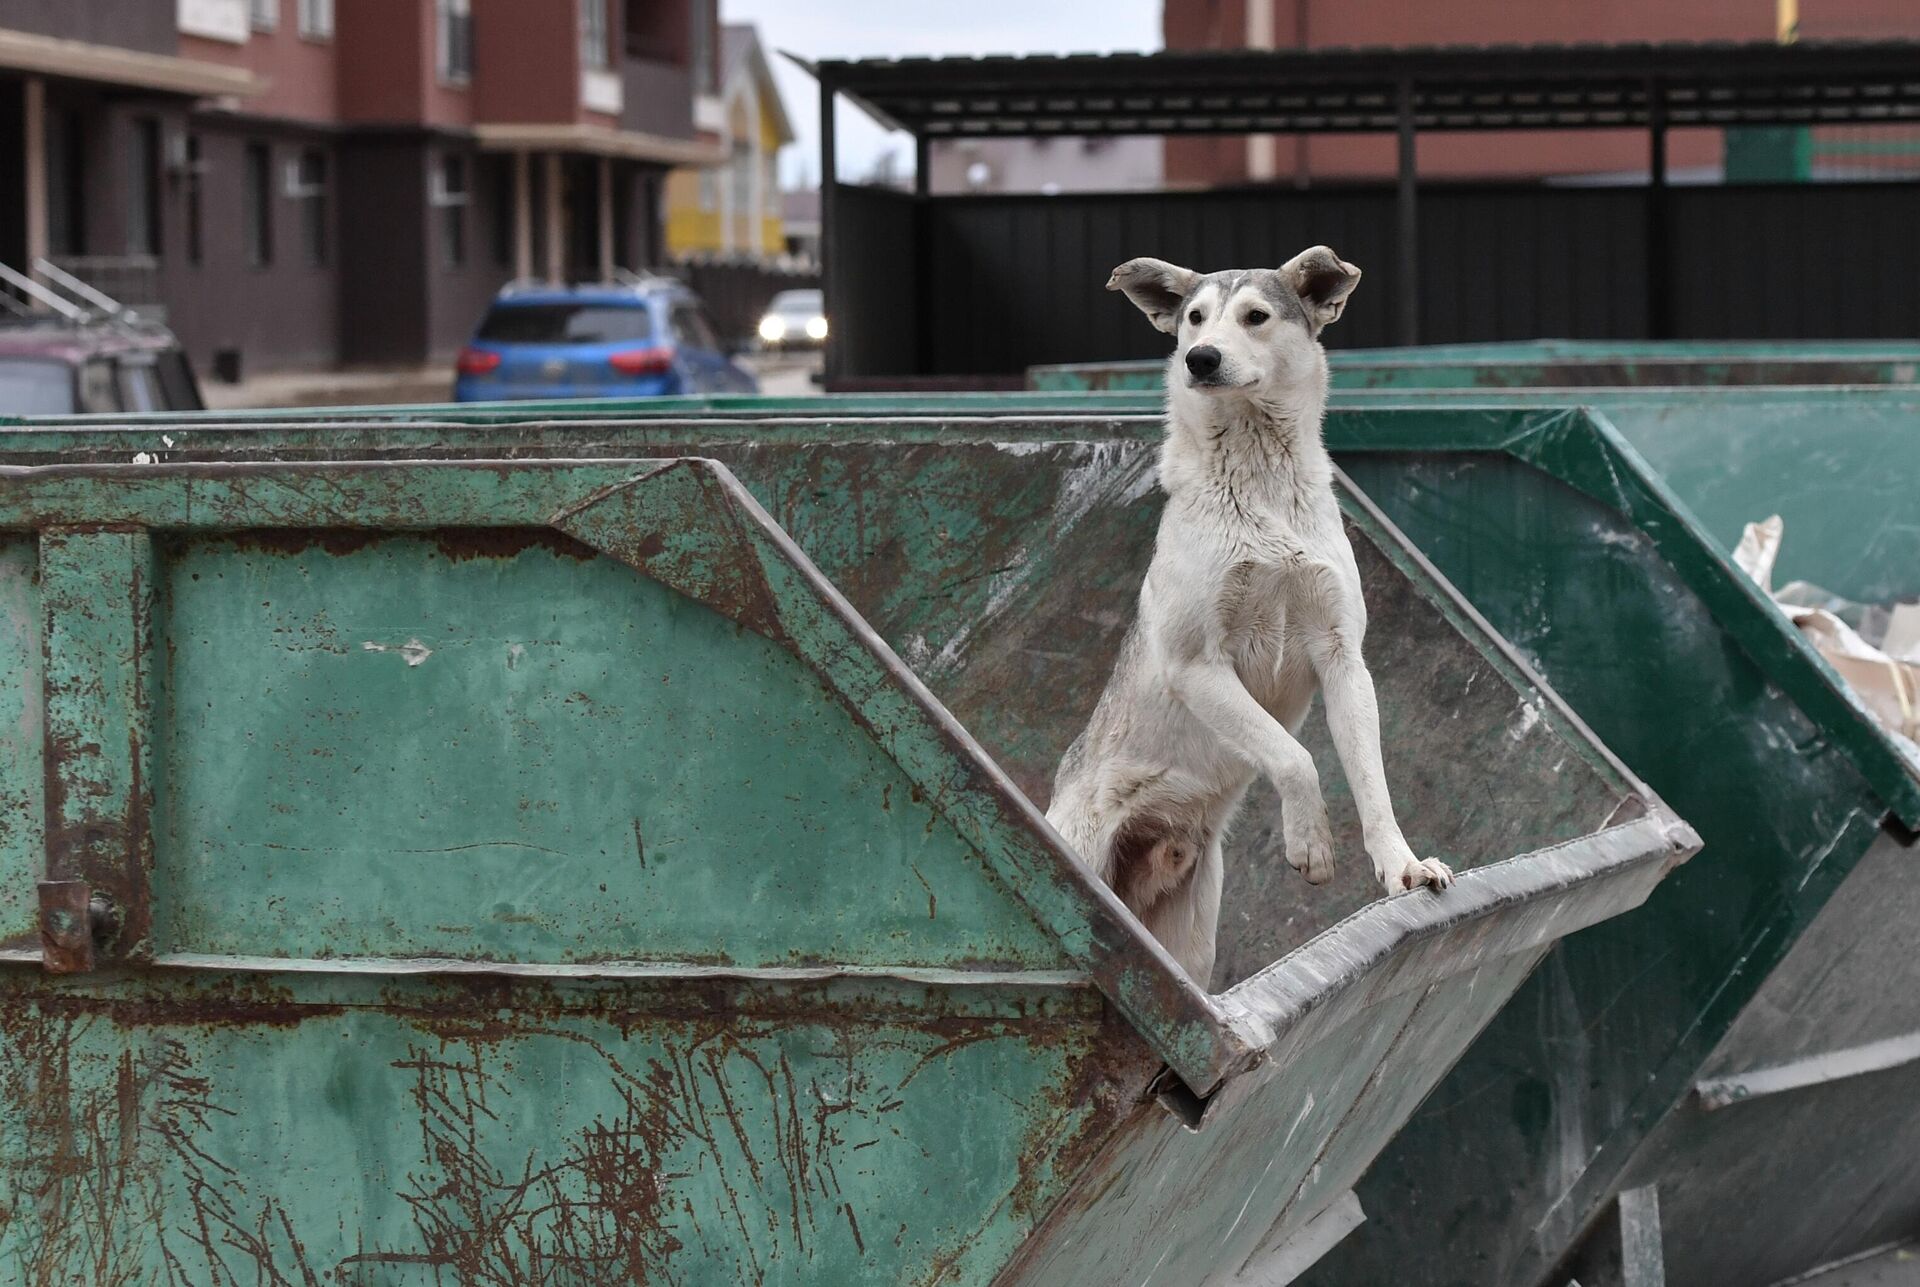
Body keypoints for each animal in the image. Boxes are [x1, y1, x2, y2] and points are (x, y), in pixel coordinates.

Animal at [1052, 247, 1451, 983]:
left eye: (1256, 317)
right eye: (1193, 318)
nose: (1200, 358)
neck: (1260, 483)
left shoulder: (1343, 658)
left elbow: (1371, 781)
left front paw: (1402, 867)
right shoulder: (1197, 666)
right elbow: (1295, 757)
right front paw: (1311, 844)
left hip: (1191, 932)